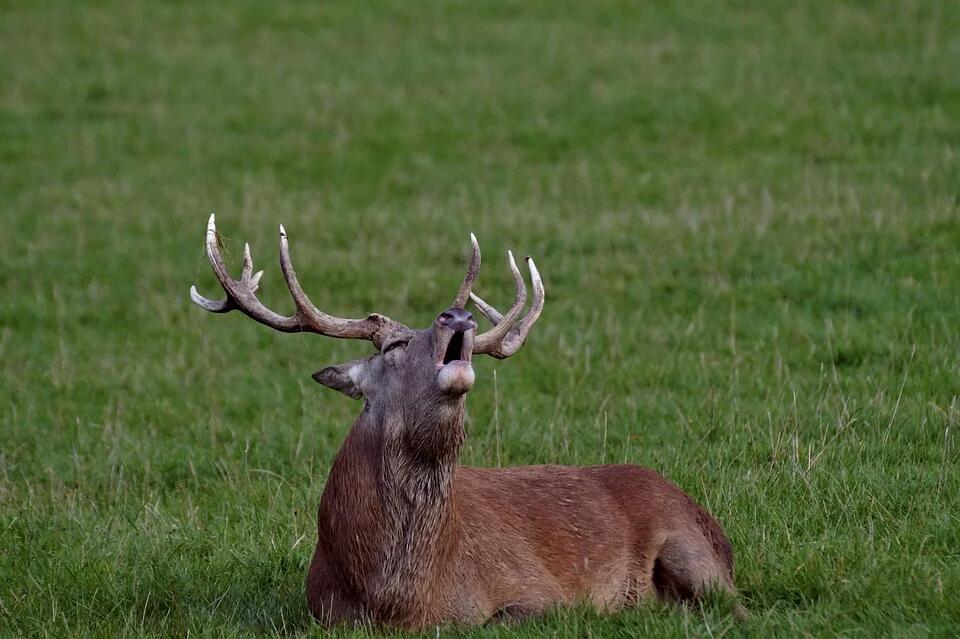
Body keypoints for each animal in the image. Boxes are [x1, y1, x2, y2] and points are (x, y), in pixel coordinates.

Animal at [190, 215, 743, 630]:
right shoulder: (321, 612)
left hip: (692, 548)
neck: (400, 601)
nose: (458, 316)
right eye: (393, 345)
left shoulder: (535, 594)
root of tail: (709, 519)